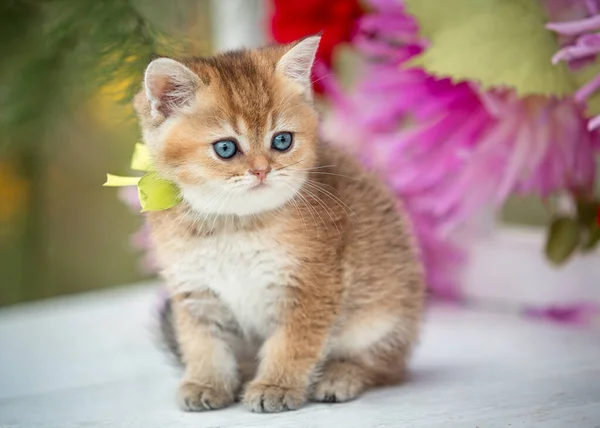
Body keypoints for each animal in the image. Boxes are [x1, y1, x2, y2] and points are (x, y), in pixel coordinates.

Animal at [135, 36, 426, 412]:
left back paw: (340, 375)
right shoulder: (195, 290)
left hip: (385, 312)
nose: (262, 170)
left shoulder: (311, 287)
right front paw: (205, 382)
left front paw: (276, 385)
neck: (234, 226)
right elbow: (203, 344)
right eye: (226, 148)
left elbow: (292, 344)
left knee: (384, 364)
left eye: (282, 140)